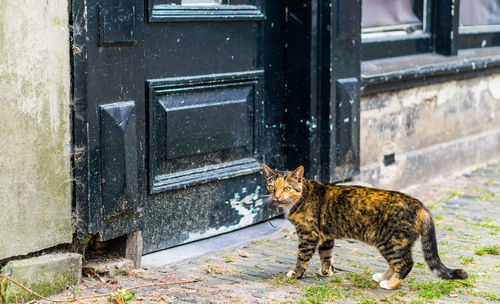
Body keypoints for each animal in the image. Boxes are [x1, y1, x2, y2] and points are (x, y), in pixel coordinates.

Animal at [264, 164, 466, 290]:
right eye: (271, 187)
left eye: (287, 188)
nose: (276, 196)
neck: (300, 197)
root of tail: (420, 206)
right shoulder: (326, 236)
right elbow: (327, 255)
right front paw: (327, 272)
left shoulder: (308, 235)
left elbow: (302, 258)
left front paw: (296, 273)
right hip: (390, 242)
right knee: (395, 263)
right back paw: (383, 277)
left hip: (392, 241)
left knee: (405, 263)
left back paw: (390, 284)